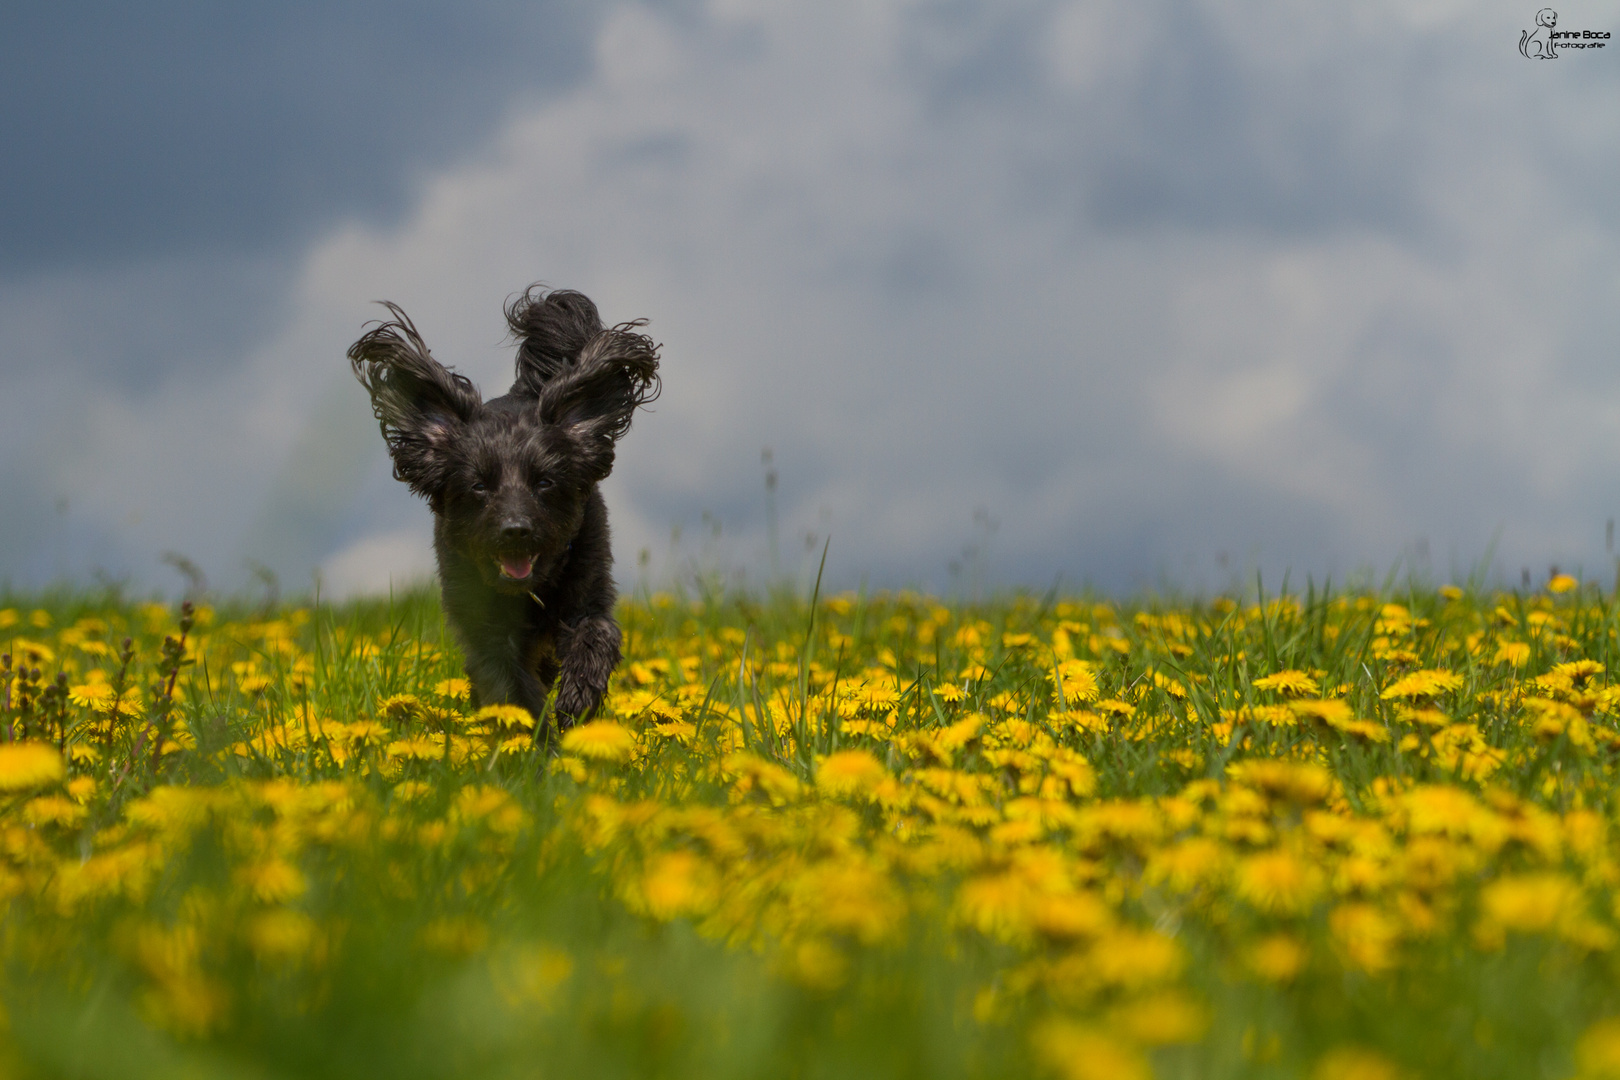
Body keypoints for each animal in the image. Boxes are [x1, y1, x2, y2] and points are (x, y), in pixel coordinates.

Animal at [348, 286, 657, 731]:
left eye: (545, 482)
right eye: (479, 486)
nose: (516, 529)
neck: (528, 593)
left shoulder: (589, 590)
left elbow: (596, 636)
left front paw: (577, 699)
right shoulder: (484, 628)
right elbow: (510, 687)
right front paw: (538, 737)